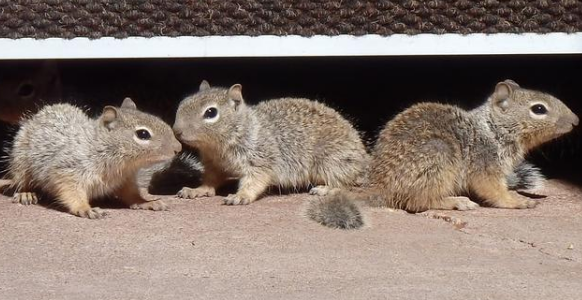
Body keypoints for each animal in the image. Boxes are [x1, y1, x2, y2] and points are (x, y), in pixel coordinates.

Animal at [5, 98, 181, 218]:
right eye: (143, 134)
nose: (178, 148)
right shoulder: (67, 169)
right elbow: (70, 191)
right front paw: (85, 208)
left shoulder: (125, 180)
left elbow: (131, 194)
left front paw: (147, 202)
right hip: (21, 165)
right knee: (21, 182)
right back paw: (26, 193)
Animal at [171, 81, 370, 205]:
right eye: (183, 102)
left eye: (211, 112)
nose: (176, 131)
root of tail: (364, 159)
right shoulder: (214, 165)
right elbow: (211, 180)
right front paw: (197, 190)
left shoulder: (260, 159)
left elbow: (255, 180)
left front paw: (240, 196)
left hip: (331, 162)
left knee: (345, 183)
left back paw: (325, 189)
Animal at [310, 79, 580, 230]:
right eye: (539, 109)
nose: (576, 121)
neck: (494, 129)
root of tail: (381, 188)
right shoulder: (485, 165)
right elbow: (494, 191)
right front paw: (517, 201)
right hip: (438, 160)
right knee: (417, 202)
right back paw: (456, 201)